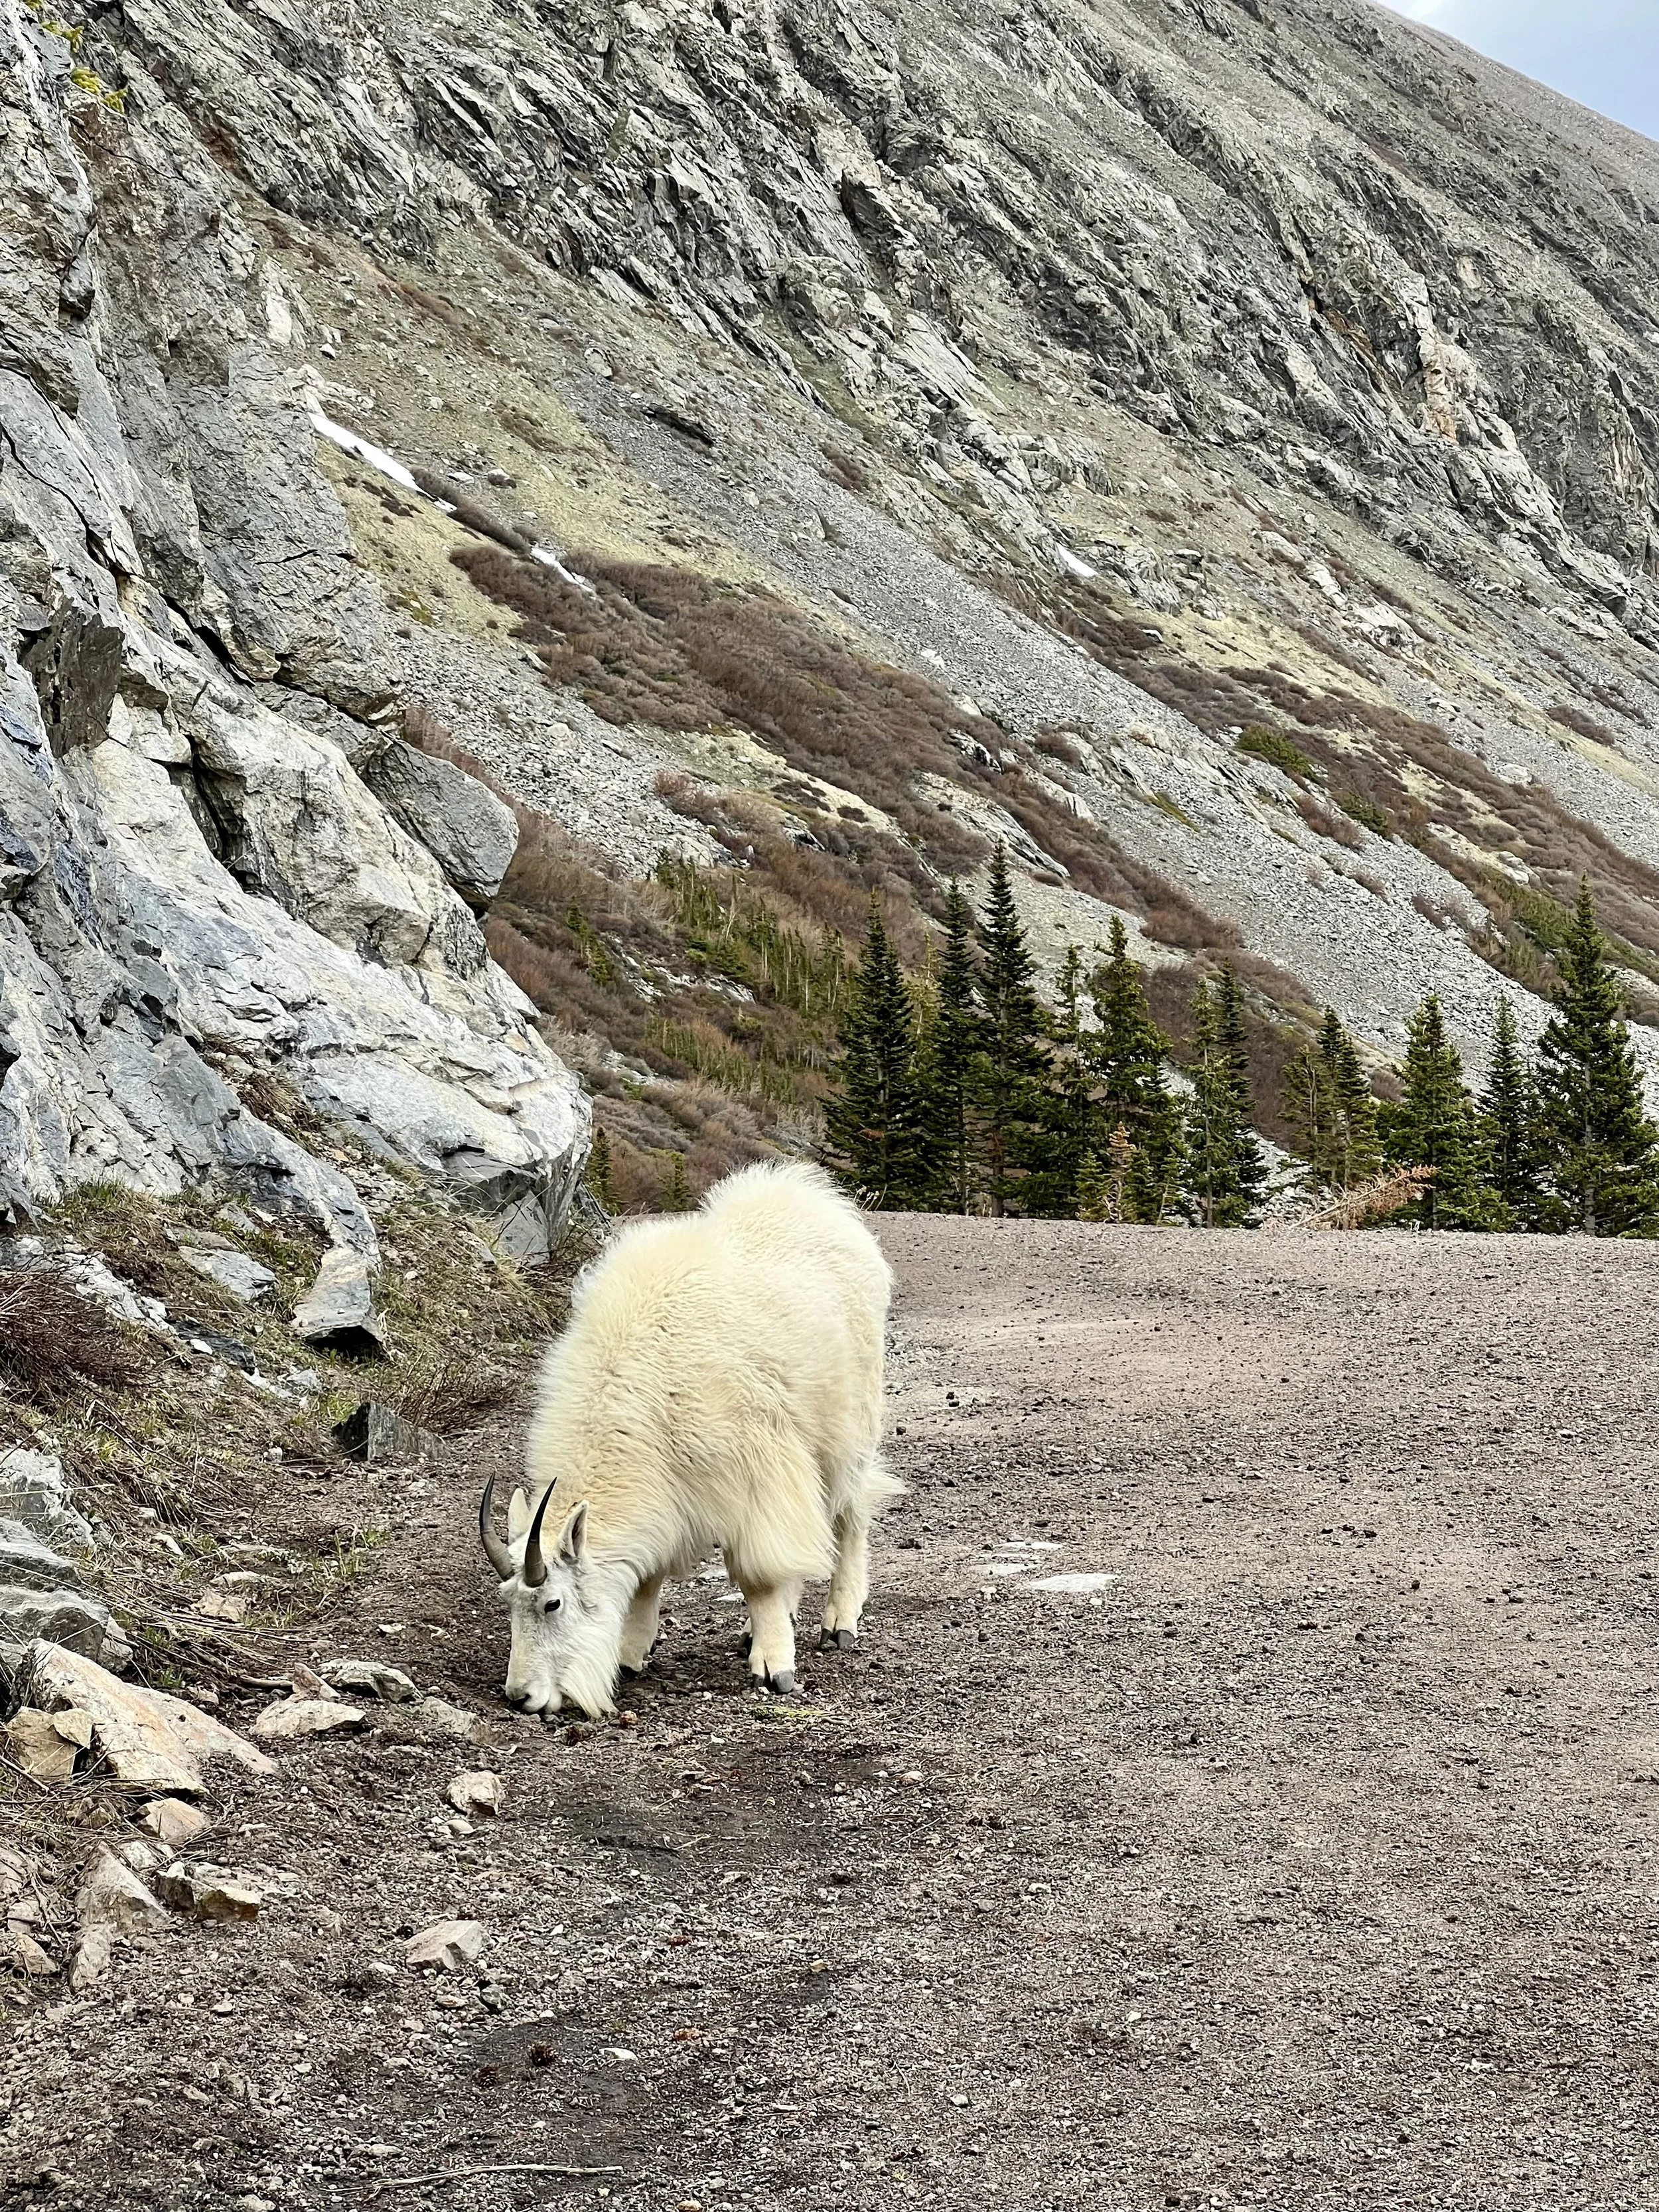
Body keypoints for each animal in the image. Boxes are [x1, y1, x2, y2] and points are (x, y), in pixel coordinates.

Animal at [478, 1160, 899, 1718]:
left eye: (553, 1602)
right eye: (506, 1602)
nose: (521, 1695)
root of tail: (819, 1200)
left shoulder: (756, 1471)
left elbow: (762, 1572)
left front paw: (774, 1665)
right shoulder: (669, 1492)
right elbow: (647, 1577)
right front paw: (631, 1651)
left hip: (849, 1423)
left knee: (851, 1515)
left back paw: (838, 1622)